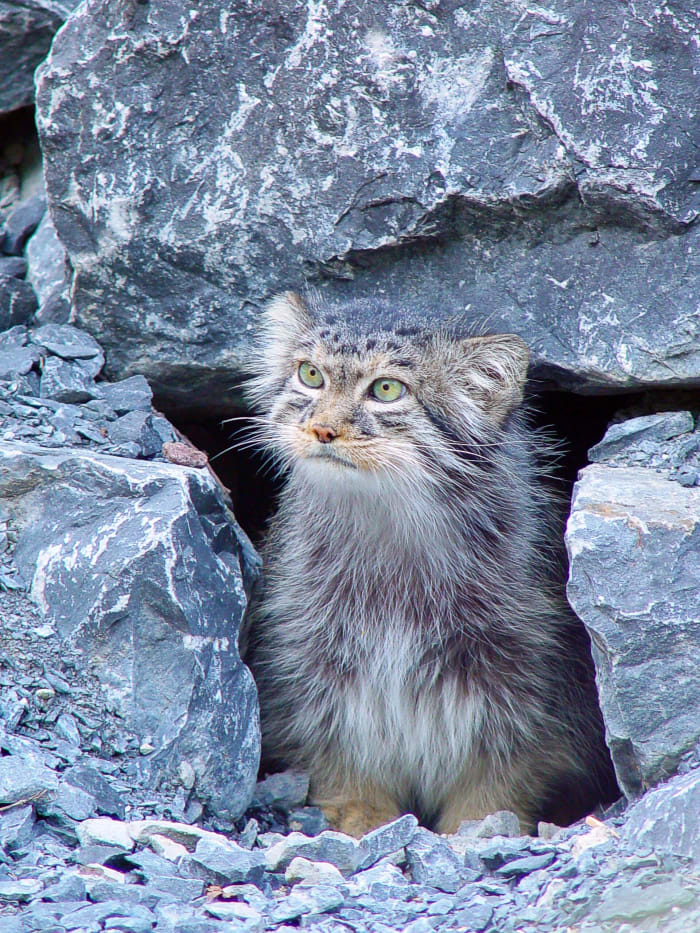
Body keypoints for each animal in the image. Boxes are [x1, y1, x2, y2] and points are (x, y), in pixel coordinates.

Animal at [243, 294, 616, 836]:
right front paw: (362, 818)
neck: (389, 534)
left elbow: (500, 778)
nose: (321, 429)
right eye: (310, 375)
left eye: (386, 389)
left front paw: (477, 827)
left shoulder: (534, 690)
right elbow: (336, 756)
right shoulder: (305, 664)